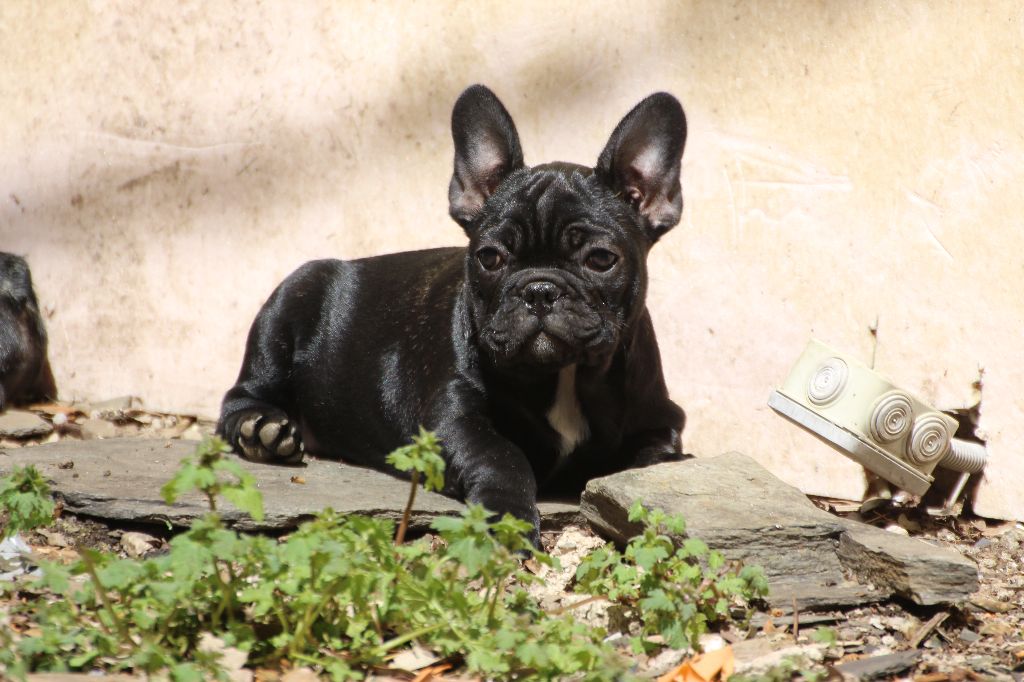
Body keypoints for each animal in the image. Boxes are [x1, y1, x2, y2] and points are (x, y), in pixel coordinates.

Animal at [221, 84, 692, 540]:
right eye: (490, 258)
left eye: (600, 259)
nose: (539, 290)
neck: (563, 375)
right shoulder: (454, 420)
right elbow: (502, 456)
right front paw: (508, 517)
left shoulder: (659, 421)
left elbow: (649, 463)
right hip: (289, 301)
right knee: (243, 394)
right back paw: (261, 429)